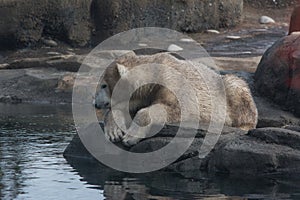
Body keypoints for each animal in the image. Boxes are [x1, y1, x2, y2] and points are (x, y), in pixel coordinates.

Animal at [95, 52, 258, 145]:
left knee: (236, 87)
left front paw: (130, 137)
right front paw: (114, 132)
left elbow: (177, 108)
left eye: (103, 85)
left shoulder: (174, 82)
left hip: (227, 88)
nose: (95, 103)